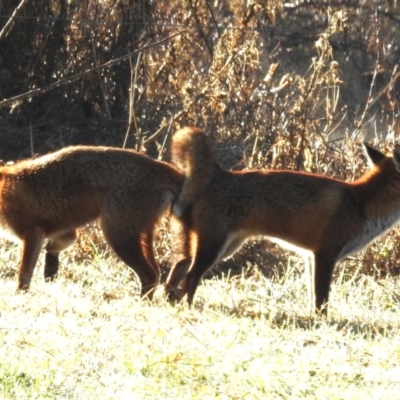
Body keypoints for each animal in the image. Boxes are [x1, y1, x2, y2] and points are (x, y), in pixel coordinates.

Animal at [0, 145, 186, 296]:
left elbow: (24, 275)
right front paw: (51, 270)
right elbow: (52, 248)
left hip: (118, 237)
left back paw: (141, 305)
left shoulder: (32, 234)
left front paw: (20, 296)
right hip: (142, 235)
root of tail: (157, 164)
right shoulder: (66, 231)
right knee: (156, 273)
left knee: (149, 275)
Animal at [166, 126, 400, 314]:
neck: (362, 204)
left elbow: (313, 296)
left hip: (223, 248)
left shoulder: (311, 256)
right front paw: (321, 322)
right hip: (213, 247)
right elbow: (321, 300)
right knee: (191, 276)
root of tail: (221, 173)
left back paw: (169, 300)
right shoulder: (325, 255)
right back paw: (187, 307)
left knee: (178, 267)